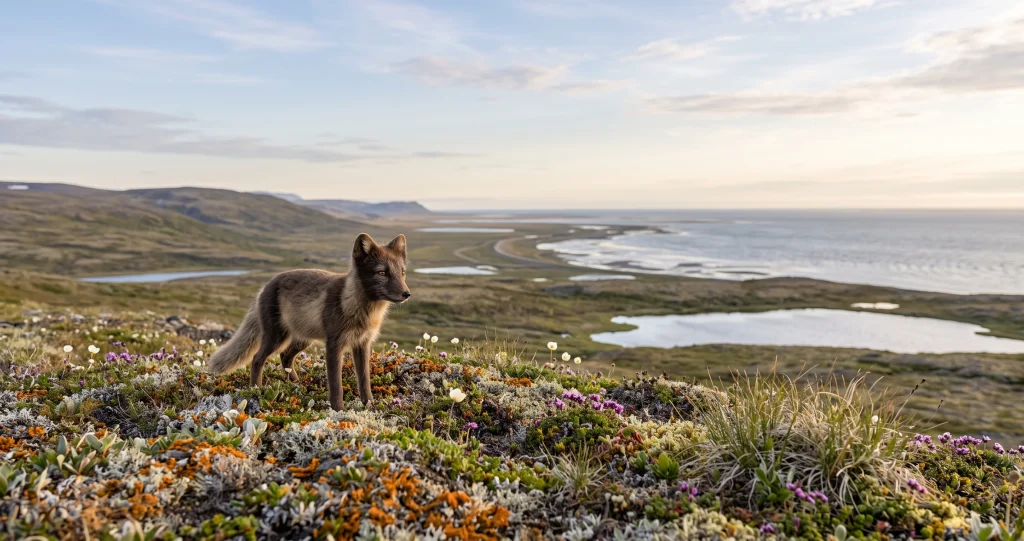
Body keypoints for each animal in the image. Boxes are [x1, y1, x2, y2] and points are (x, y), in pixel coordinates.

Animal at [206, 233, 411, 410]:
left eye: (402, 272)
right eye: (382, 273)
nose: (407, 294)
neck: (360, 309)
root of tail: (265, 286)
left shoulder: (362, 344)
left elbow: (364, 380)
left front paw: (369, 405)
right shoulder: (334, 344)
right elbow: (336, 385)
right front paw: (338, 410)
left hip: (303, 339)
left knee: (285, 356)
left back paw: (297, 385)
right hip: (276, 336)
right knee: (257, 359)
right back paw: (256, 390)